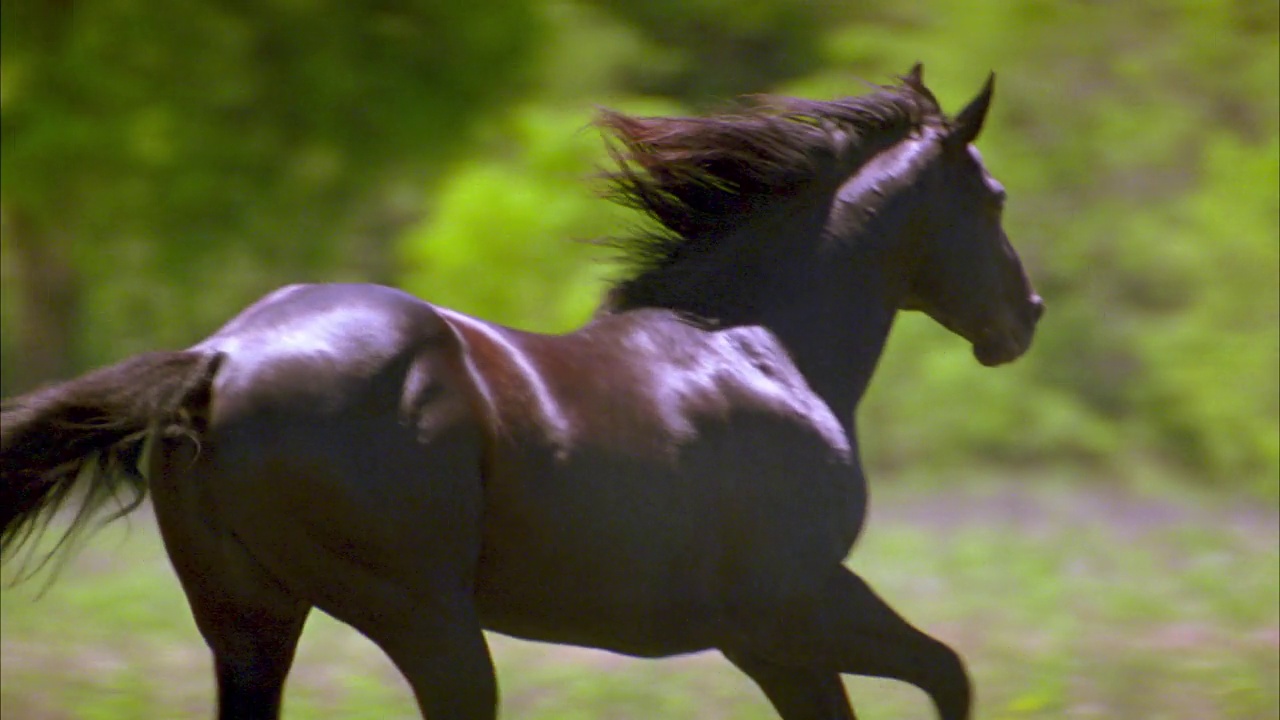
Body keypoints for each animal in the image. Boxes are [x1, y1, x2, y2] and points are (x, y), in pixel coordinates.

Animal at [2, 64, 1039, 712]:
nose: (1023, 317)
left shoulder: (767, 635)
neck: (760, 347)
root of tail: (219, 359)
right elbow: (949, 673)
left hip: (248, 625)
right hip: (427, 623)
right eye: (993, 198)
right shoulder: (795, 603)